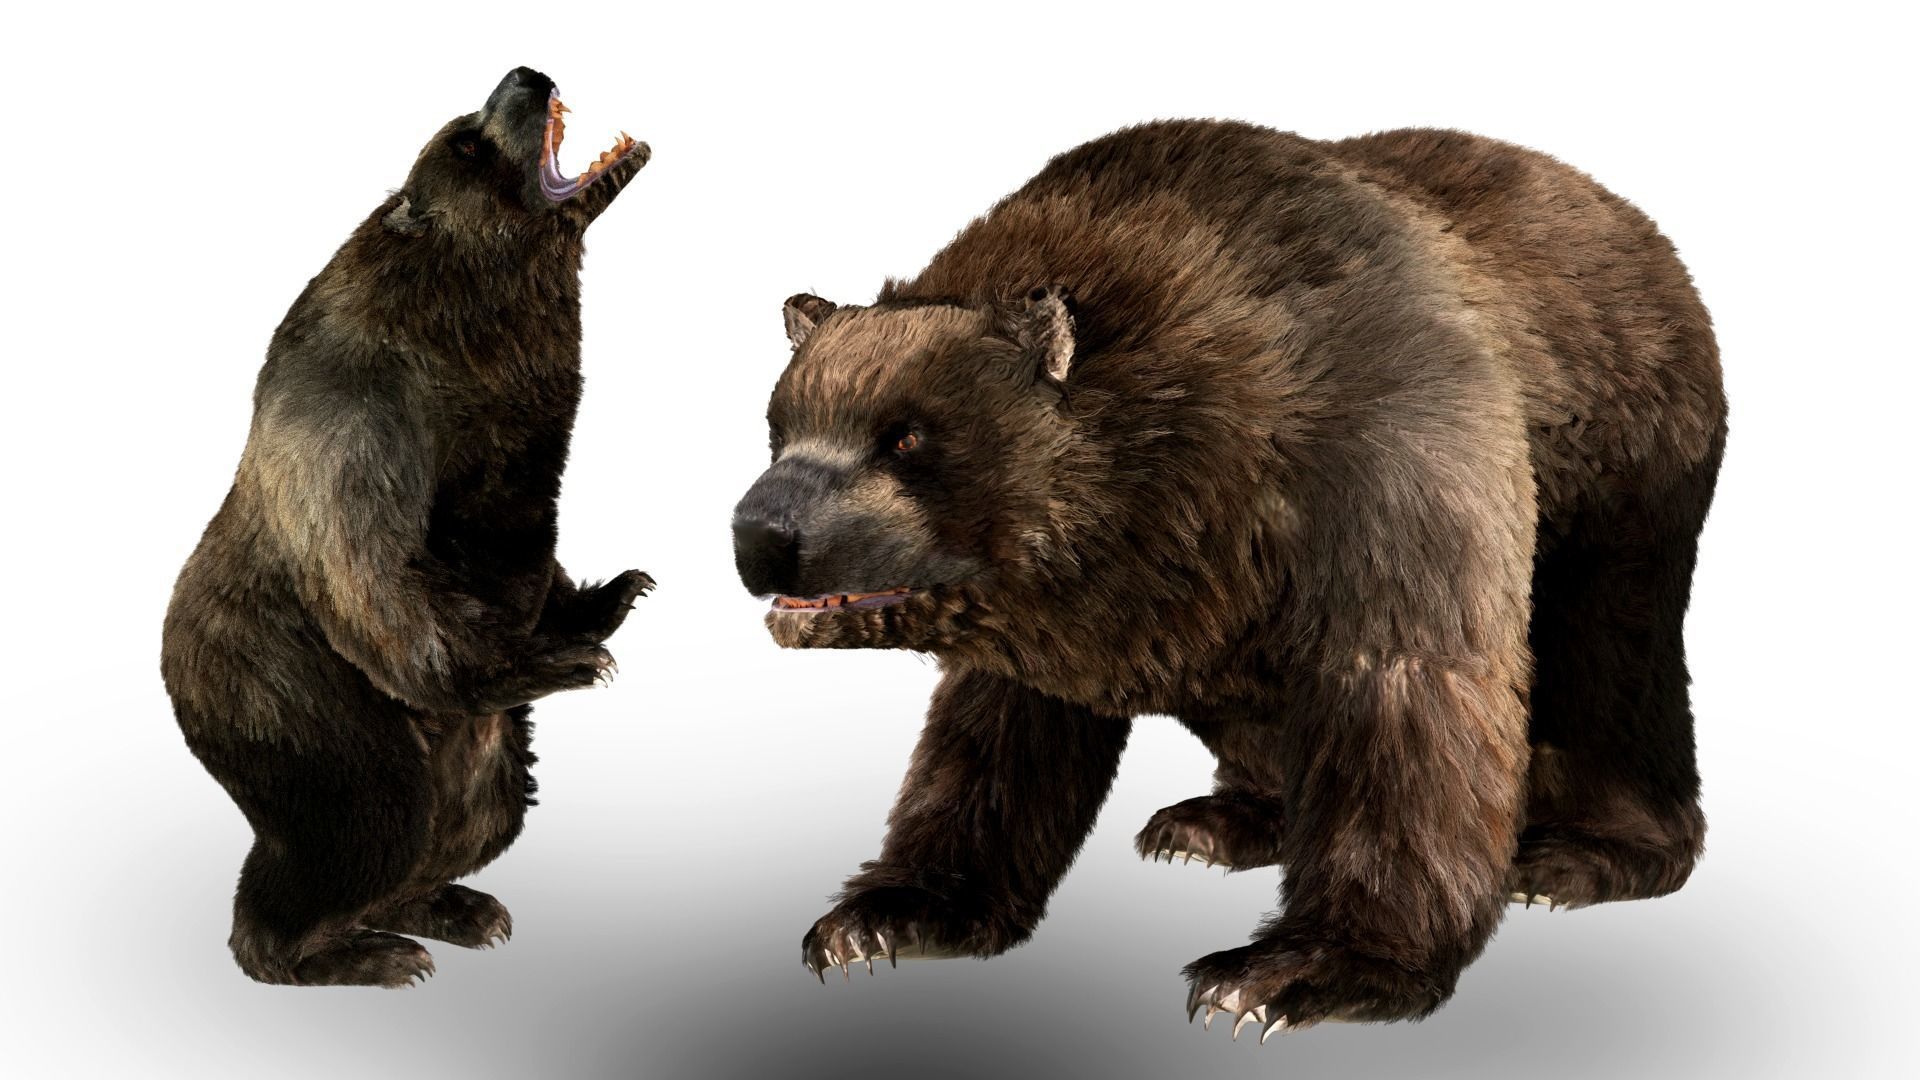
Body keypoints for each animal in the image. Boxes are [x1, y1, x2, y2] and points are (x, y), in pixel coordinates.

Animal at [161, 67, 651, 987]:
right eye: (464, 139)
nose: (526, 75)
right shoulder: (359, 415)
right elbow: (375, 572)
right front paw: (565, 660)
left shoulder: (517, 443)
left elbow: (531, 545)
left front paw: (616, 592)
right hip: (301, 708)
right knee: (361, 827)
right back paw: (365, 955)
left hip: (490, 765)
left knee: (474, 820)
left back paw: (458, 910)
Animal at [731, 121, 1724, 1035]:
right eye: (782, 424)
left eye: (905, 437)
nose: (760, 537)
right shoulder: (1063, 602)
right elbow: (999, 731)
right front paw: (884, 916)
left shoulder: (1386, 450)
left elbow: (1408, 680)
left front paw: (1287, 972)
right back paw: (1216, 823)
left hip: (1627, 479)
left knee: (1608, 664)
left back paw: (1579, 855)